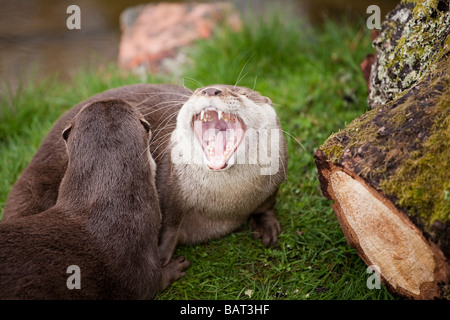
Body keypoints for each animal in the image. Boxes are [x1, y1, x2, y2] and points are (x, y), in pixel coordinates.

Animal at [2, 82, 288, 264]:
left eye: (241, 93)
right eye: (196, 92)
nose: (210, 90)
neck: (224, 203)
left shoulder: (273, 183)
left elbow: (266, 205)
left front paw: (267, 226)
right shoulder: (170, 188)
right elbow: (168, 226)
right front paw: (160, 260)